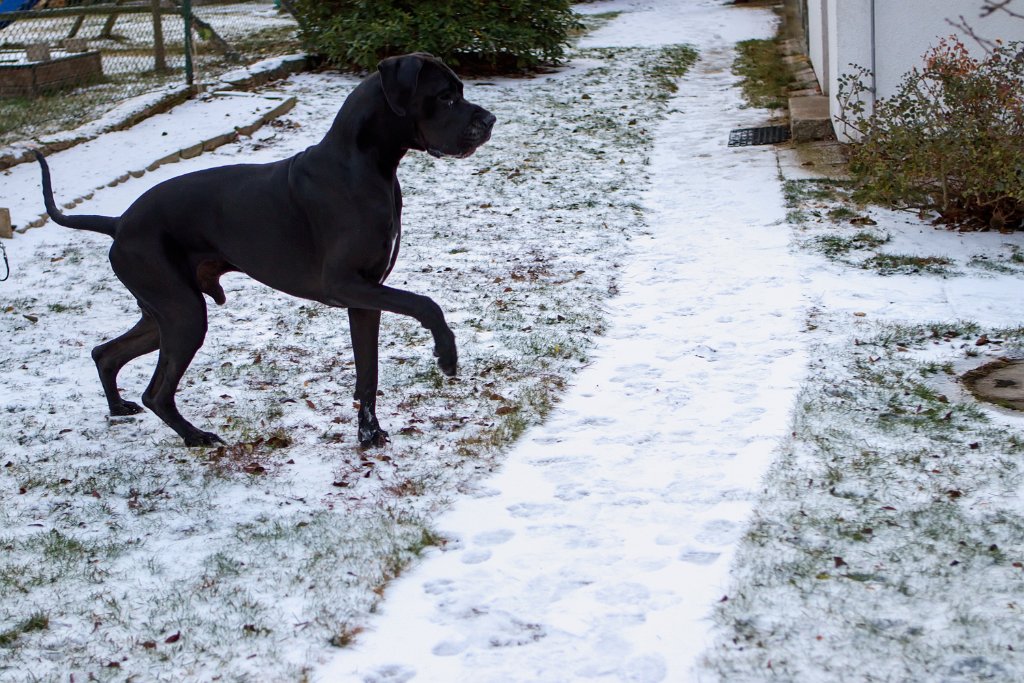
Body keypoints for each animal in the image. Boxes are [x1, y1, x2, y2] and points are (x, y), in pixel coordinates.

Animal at [41, 53, 497, 448]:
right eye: (446, 96)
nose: (490, 120)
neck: (365, 167)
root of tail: (119, 222)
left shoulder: (366, 297)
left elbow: (368, 372)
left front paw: (368, 434)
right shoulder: (344, 285)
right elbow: (426, 304)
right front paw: (447, 354)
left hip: (163, 313)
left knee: (106, 353)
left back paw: (118, 407)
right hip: (183, 313)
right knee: (156, 392)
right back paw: (196, 436)